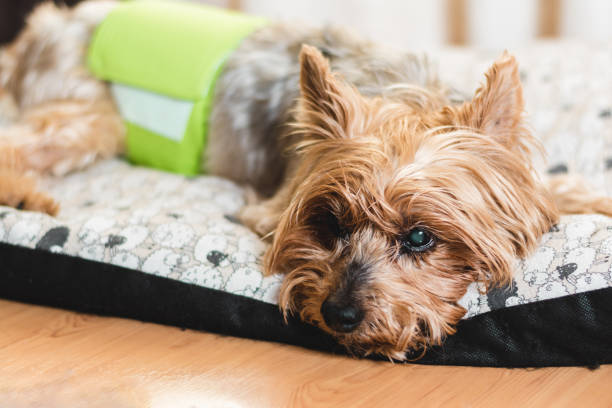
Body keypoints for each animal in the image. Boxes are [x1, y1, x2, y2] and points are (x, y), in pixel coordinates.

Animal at [3, 0, 612, 358]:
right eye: (328, 223)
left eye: (420, 237)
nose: (339, 315)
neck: (405, 96)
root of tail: (43, 27)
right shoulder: (270, 207)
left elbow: (560, 191)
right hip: (93, 117)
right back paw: (27, 195)